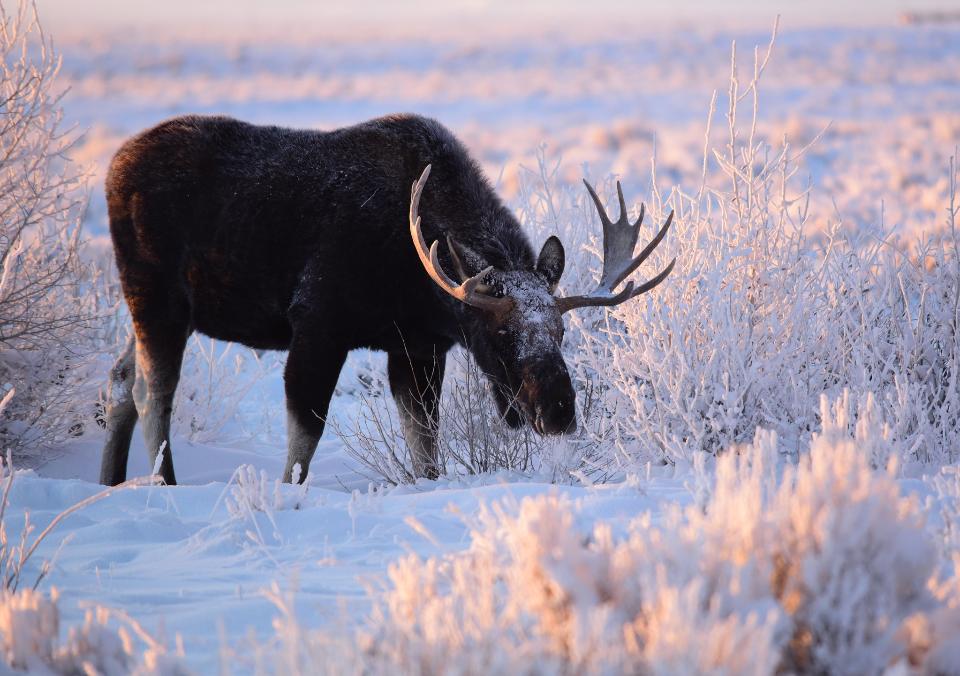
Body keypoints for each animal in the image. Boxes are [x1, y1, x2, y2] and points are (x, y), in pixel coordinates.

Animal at [99, 116, 676, 486]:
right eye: (500, 334)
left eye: (561, 332)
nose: (558, 409)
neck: (417, 284)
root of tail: (111, 169)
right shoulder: (318, 323)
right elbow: (303, 443)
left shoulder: (419, 348)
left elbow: (425, 450)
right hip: (156, 295)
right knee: (152, 390)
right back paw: (164, 484)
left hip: (171, 309)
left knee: (120, 379)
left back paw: (110, 482)